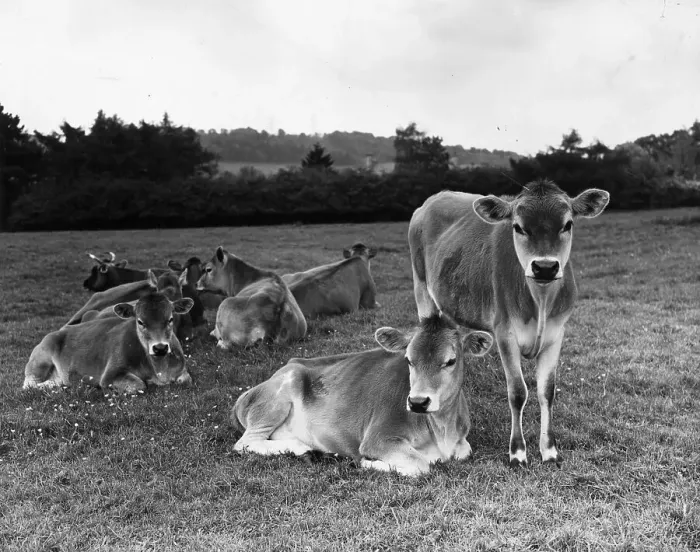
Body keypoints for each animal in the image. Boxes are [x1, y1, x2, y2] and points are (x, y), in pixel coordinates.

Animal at [23, 289, 195, 393]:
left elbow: (186, 380)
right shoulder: (110, 375)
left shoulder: (182, 371)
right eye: (140, 322)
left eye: (170, 319)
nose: (160, 348)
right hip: (40, 360)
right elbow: (139, 385)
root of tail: (58, 331)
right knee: (29, 384)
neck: (159, 369)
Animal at [231, 315, 493, 477]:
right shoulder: (378, 438)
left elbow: (464, 451)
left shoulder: (462, 442)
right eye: (408, 359)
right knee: (245, 443)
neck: (442, 430)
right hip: (280, 393)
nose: (418, 402)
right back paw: (306, 449)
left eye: (451, 361)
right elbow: (421, 465)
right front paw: (368, 462)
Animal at [408, 179, 610, 467]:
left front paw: (549, 450)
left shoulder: (557, 333)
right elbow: (517, 392)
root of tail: (432, 200)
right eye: (518, 226)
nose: (545, 266)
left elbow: (546, 391)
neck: (540, 301)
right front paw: (517, 452)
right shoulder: (505, 333)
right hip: (421, 290)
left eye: (568, 224)